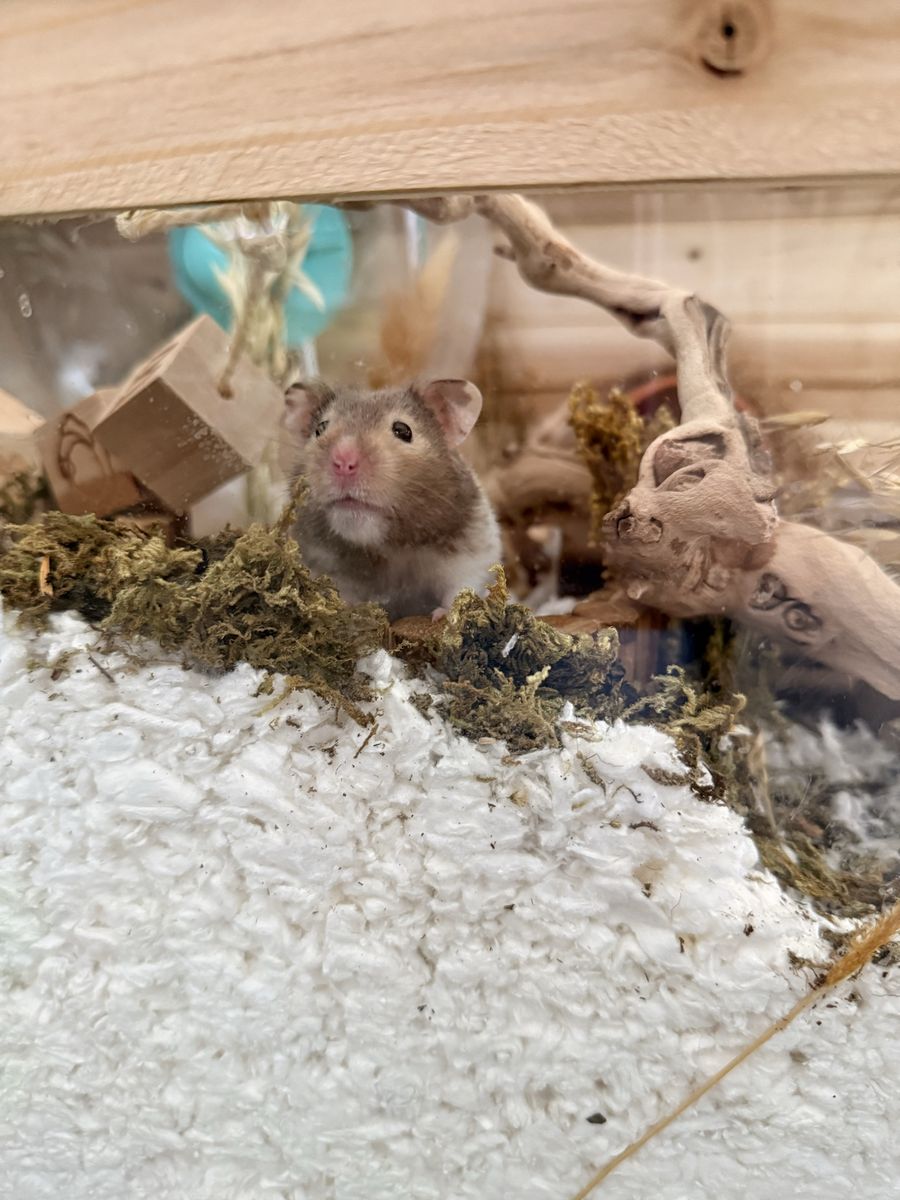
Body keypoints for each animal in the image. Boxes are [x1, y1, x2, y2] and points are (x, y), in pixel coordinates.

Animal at [283, 378, 502, 621]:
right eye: (320, 429)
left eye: (403, 431)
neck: (385, 549)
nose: (343, 461)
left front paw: (442, 616)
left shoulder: (471, 554)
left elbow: (460, 587)